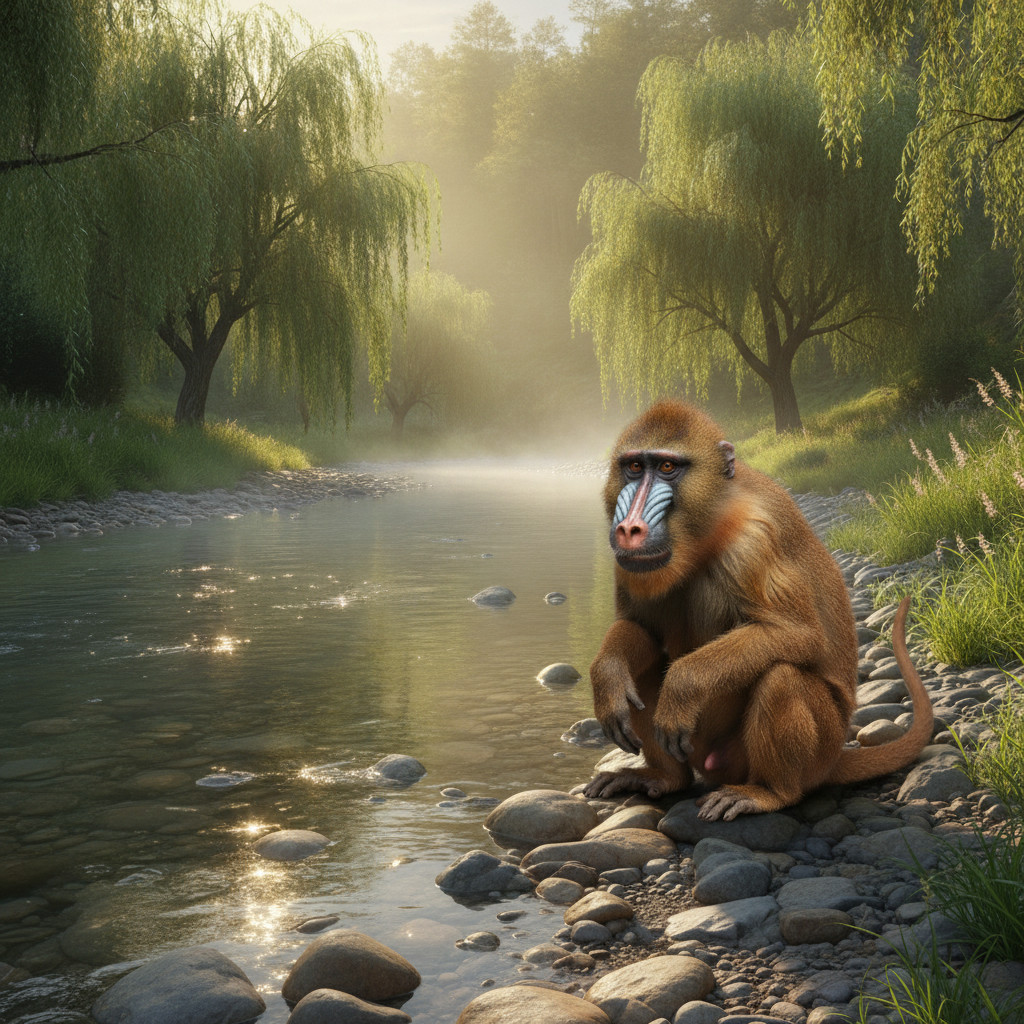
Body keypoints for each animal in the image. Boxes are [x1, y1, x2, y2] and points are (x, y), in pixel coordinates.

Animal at [584, 399, 934, 821]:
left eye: (667, 467)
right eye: (635, 466)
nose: (630, 528)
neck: (710, 525)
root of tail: (834, 758)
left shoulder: (753, 545)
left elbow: (798, 634)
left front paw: (682, 686)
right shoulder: (629, 562)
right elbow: (640, 629)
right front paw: (608, 679)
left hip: (794, 750)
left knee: (781, 677)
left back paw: (771, 792)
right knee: (647, 665)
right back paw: (665, 778)